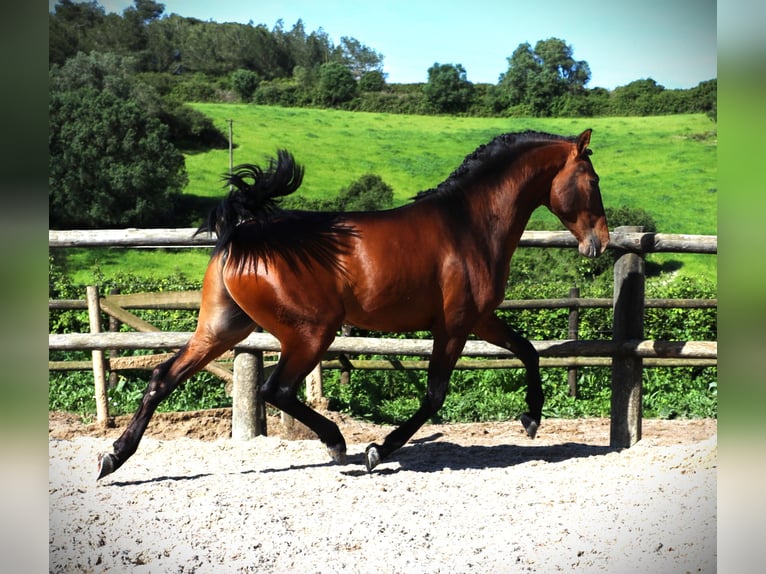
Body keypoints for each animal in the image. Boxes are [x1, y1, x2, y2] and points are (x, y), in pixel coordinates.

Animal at [96, 129, 612, 482]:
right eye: (592, 179)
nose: (600, 244)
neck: (470, 223)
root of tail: (242, 235)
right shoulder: (454, 325)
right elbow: (434, 394)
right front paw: (379, 450)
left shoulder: (480, 319)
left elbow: (528, 350)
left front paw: (532, 418)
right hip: (311, 333)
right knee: (275, 389)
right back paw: (339, 444)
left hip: (223, 327)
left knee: (163, 377)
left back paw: (113, 457)